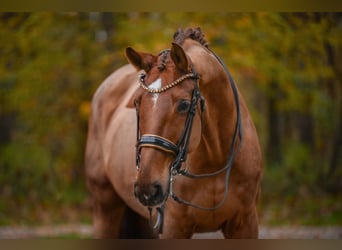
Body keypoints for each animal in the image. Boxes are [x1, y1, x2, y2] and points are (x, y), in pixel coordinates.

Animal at [85, 27, 262, 238]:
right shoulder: (173, 226)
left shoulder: (245, 223)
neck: (215, 160)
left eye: (184, 105)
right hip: (105, 211)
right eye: (136, 102)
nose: (147, 188)